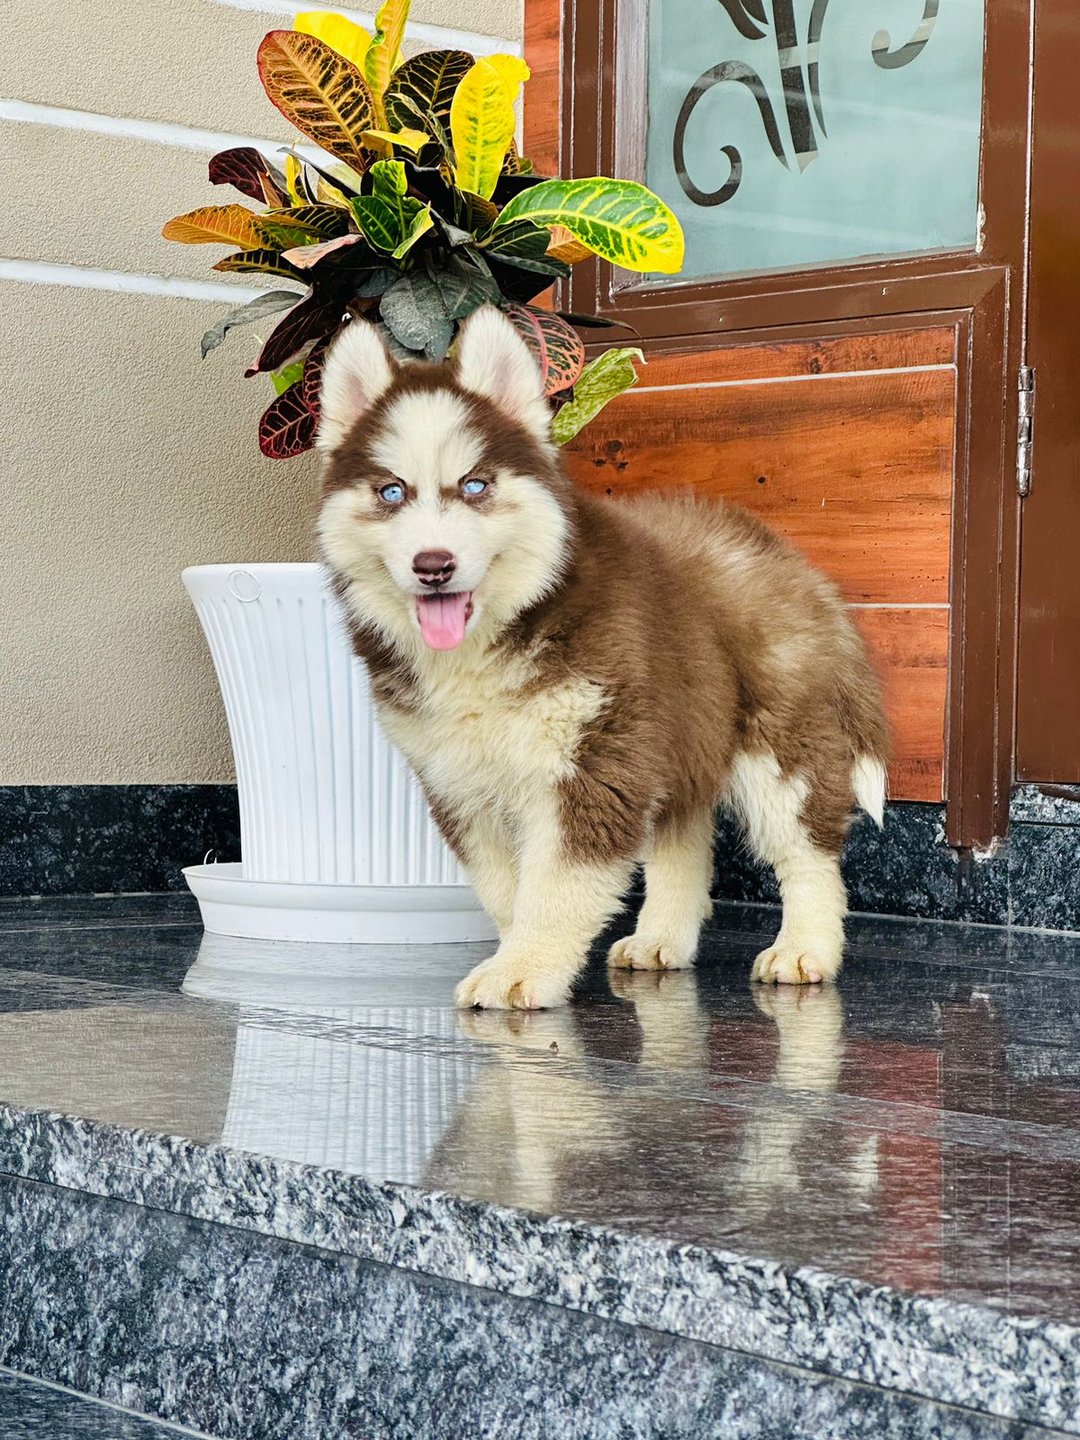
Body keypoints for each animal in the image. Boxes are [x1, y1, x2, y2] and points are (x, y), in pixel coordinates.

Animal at [316, 306, 889, 1010]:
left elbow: (556, 886)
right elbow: (506, 889)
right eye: (392, 493)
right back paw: (661, 939)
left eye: (475, 486)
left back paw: (805, 948)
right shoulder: (460, 782)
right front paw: (516, 952)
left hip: (778, 743)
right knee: (681, 838)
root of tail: (787, 556)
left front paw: (521, 968)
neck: (496, 637)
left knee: (807, 852)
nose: (433, 565)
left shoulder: (594, 756)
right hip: (678, 729)